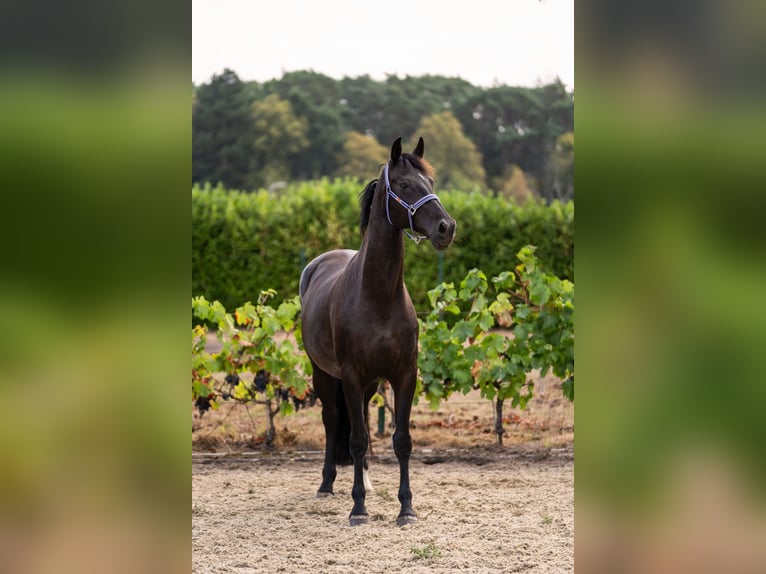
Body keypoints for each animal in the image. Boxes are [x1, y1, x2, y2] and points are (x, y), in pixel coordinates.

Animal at [299, 136, 456, 526]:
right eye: (404, 184)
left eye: (431, 182)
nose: (447, 227)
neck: (379, 297)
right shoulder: (351, 376)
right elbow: (354, 440)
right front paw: (358, 509)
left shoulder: (404, 375)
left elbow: (401, 440)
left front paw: (406, 508)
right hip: (324, 374)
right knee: (332, 420)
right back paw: (327, 485)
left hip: (369, 384)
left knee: (366, 421)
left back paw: (366, 480)